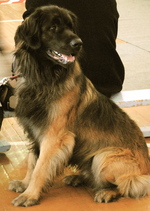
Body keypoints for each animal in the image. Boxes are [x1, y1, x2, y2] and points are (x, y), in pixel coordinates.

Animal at [9, 4, 150, 206]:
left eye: (70, 27)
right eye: (53, 27)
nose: (78, 43)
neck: (45, 77)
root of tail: (147, 170)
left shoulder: (54, 136)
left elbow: (40, 167)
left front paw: (30, 195)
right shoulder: (34, 131)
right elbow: (32, 161)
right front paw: (24, 184)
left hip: (104, 157)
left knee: (129, 184)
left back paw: (107, 192)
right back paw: (78, 177)